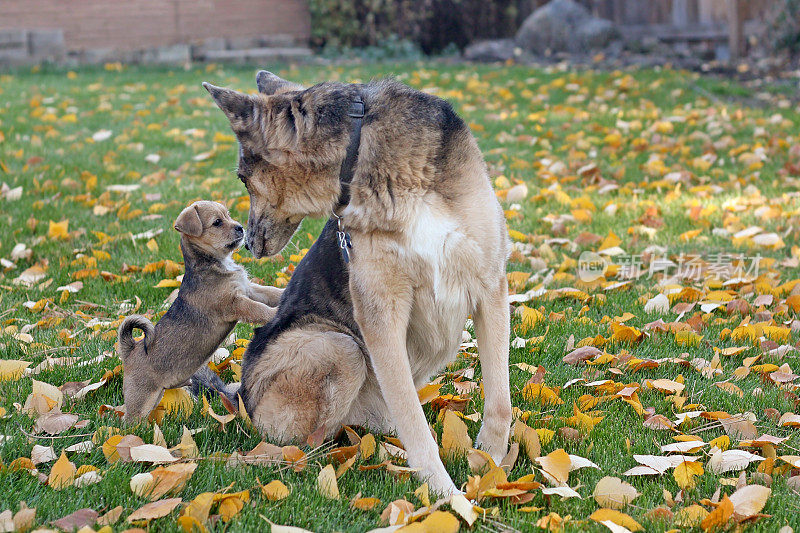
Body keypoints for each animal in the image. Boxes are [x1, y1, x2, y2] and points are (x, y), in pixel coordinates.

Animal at [117, 200, 282, 420]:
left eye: (228, 215)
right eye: (217, 222)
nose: (241, 227)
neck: (215, 263)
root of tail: (131, 350)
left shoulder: (249, 289)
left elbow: (271, 292)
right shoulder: (236, 303)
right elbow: (259, 309)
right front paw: (275, 313)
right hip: (141, 399)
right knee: (128, 420)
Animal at [203, 71, 510, 494]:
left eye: (243, 179)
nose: (247, 243)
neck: (361, 147)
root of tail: (240, 396)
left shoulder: (490, 286)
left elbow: (500, 400)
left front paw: (492, 463)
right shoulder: (381, 314)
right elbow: (413, 420)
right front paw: (445, 495)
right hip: (337, 346)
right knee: (304, 445)